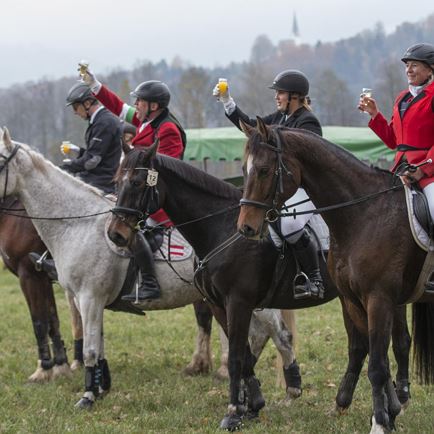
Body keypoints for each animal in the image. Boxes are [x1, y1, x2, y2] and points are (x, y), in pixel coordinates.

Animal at [0, 126, 296, 418]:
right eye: (118, 181)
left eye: (0, 163)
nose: (115, 235)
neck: (77, 224)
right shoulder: (87, 299)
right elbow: (94, 342)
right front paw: (100, 387)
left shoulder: (86, 296)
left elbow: (87, 348)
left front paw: (85, 395)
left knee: (276, 334)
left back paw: (284, 387)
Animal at [104, 143, 410, 430]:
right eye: (117, 180)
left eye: (137, 182)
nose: (115, 234)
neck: (222, 228)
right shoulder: (219, 305)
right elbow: (246, 356)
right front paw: (252, 406)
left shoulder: (238, 302)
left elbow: (237, 356)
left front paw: (233, 413)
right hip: (353, 300)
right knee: (362, 347)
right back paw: (351, 404)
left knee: (384, 345)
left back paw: (390, 403)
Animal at [237, 118, 434, 434]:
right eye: (244, 169)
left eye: (265, 170)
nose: (246, 228)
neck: (363, 213)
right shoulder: (353, 300)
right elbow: (370, 353)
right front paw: (385, 413)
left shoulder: (378, 299)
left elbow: (377, 365)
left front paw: (380, 423)